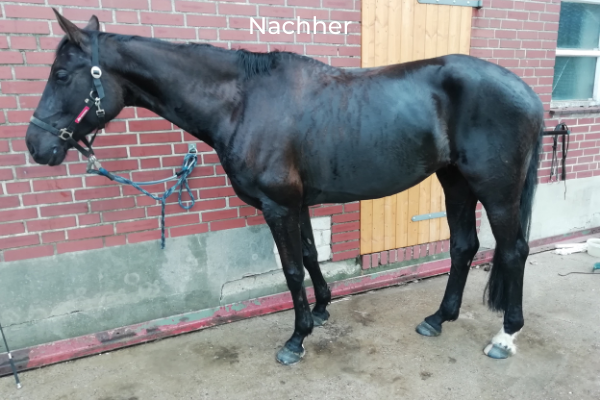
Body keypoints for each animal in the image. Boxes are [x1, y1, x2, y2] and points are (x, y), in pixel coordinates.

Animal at [25, 10, 544, 364]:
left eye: (62, 74)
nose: (36, 145)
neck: (243, 102)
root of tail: (527, 93)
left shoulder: (276, 206)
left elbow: (291, 270)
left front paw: (296, 338)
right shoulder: (299, 203)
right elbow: (311, 257)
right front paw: (321, 310)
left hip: (496, 190)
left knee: (513, 249)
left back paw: (505, 336)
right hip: (455, 181)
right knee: (463, 246)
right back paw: (438, 319)